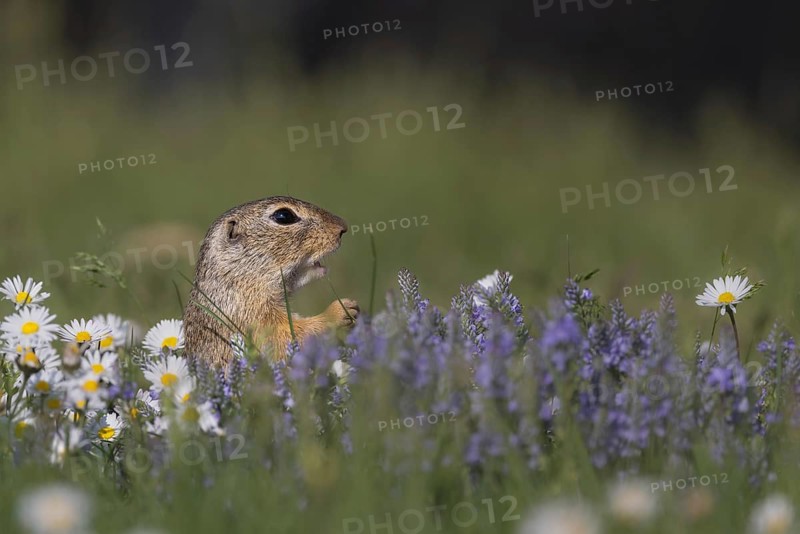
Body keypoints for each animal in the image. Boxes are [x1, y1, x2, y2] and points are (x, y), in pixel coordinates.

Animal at [183, 196, 359, 366]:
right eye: (284, 216)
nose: (343, 227)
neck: (239, 277)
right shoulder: (251, 315)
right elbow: (286, 336)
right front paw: (341, 310)